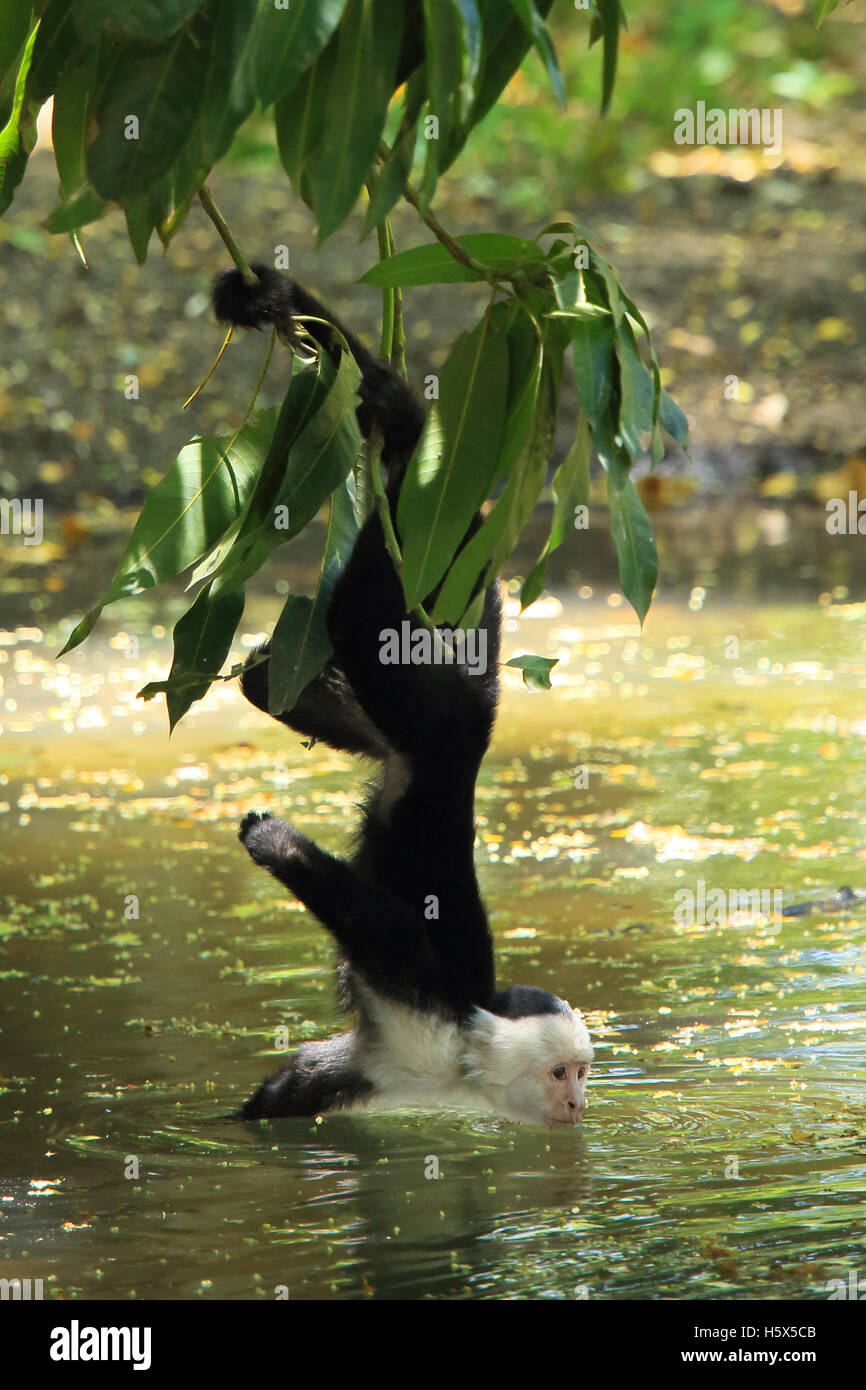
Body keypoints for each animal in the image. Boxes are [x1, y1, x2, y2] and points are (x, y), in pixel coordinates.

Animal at [215, 262, 594, 1128]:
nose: (578, 1103)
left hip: (418, 727)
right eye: (563, 1071)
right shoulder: (430, 1017)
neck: (468, 1067)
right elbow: (384, 935)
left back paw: (266, 677)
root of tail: (467, 749)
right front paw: (276, 845)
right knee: (372, 598)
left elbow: (292, 1088)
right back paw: (402, 434)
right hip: (438, 718)